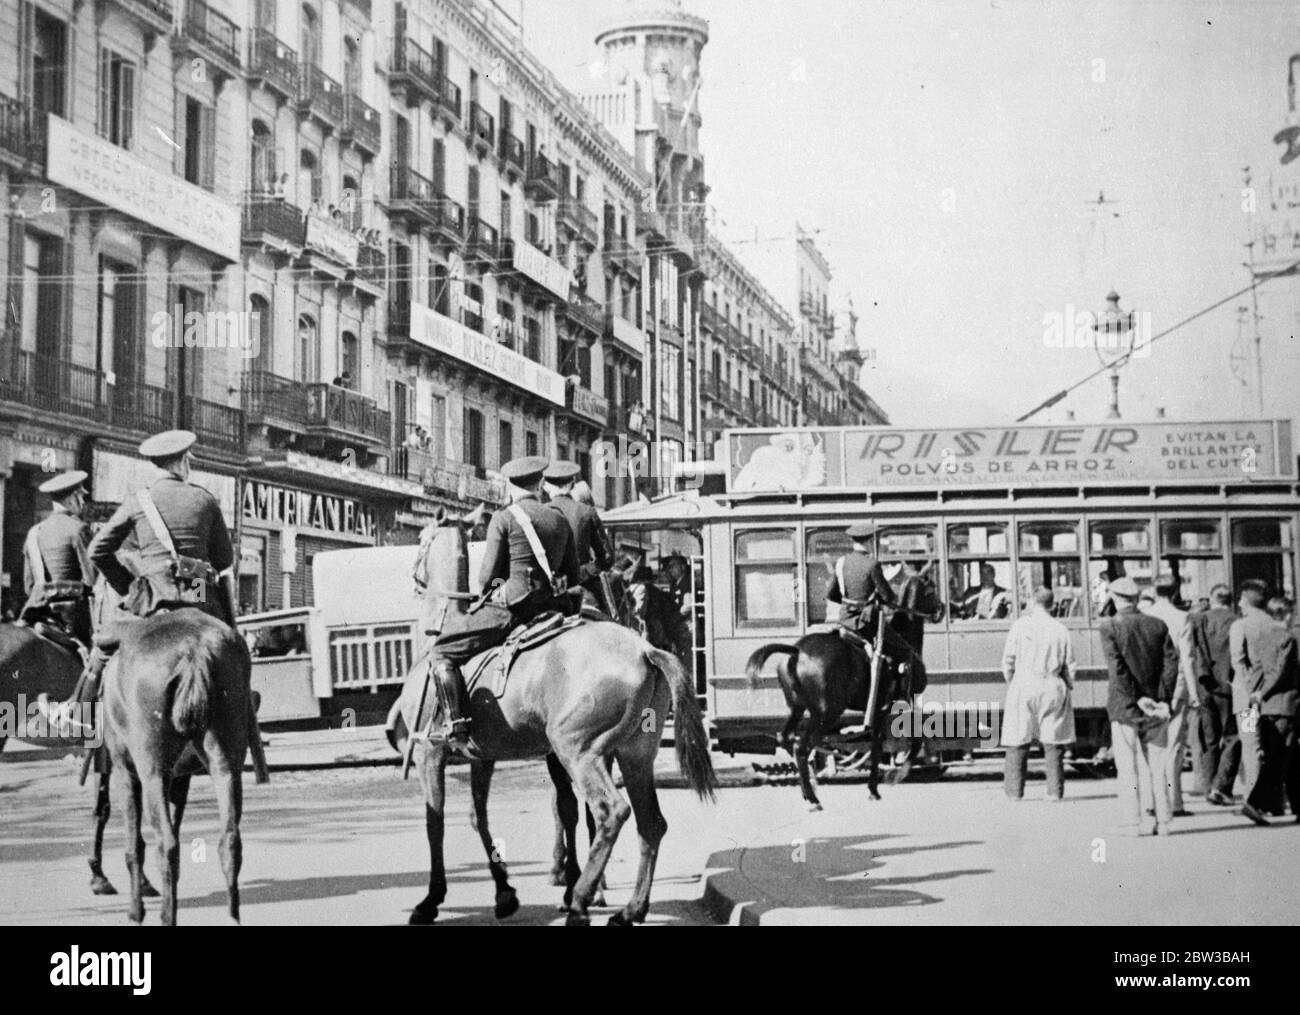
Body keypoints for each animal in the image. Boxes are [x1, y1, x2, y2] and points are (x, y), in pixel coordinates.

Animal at [105, 605, 262, 920]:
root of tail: (194, 649)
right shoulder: (182, 777)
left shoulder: (124, 770)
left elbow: (134, 846)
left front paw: (136, 910)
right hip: (226, 762)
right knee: (230, 840)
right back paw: (231, 916)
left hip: (152, 769)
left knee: (166, 844)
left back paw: (167, 916)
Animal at [387, 519, 712, 920]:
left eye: (421, 541)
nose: (413, 574)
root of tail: (644, 650)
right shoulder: (484, 757)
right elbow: (480, 818)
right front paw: (504, 893)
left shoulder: (428, 753)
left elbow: (436, 822)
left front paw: (432, 899)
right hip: (634, 755)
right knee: (650, 823)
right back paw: (630, 908)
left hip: (578, 751)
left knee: (610, 812)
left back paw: (581, 898)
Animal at [743, 566, 946, 810]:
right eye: (931, 588)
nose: (942, 609)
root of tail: (797, 651)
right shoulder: (902, 703)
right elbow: (914, 740)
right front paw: (895, 775)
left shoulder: (880, 709)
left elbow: (877, 745)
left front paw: (873, 788)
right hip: (826, 713)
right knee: (802, 747)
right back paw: (813, 797)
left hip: (799, 709)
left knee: (787, 739)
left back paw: (810, 787)